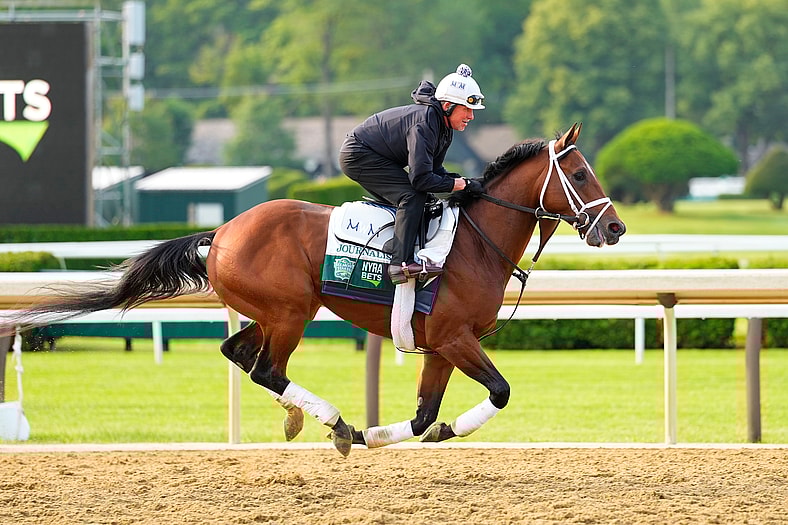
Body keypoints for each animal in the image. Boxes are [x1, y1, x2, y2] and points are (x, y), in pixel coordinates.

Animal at [0, 123, 625, 456]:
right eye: (581, 173)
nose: (616, 228)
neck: (474, 241)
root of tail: (221, 231)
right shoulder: (455, 338)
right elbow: (499, 392)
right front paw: (380, 431)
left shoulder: (441, 345)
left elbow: (425, 416)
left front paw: (402, 432)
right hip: (291, 311)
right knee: (265, 369)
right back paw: (333, 421)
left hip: (270, 312)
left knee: (237, 352)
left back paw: (308, 419)